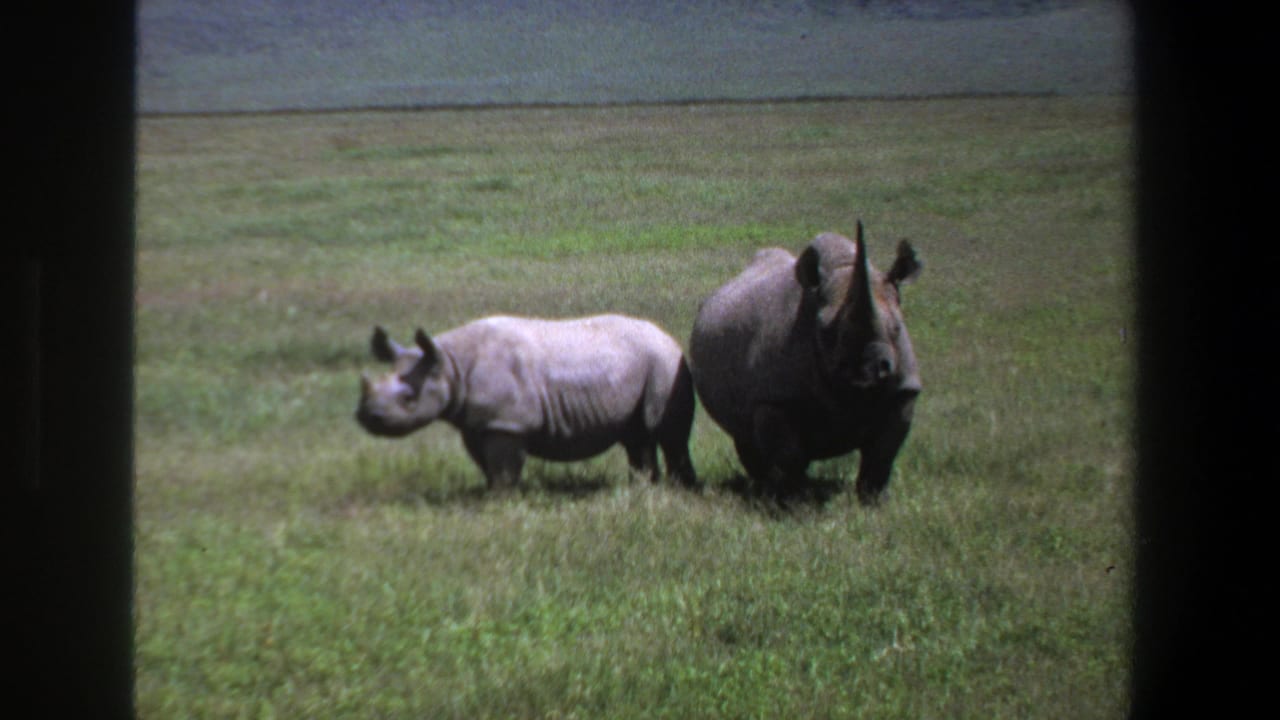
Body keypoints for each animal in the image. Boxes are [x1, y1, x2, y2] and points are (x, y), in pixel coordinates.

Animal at [355, 314, 698, 490]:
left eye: (408, 398)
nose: (367, 417)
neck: (450, 364)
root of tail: (668, 335)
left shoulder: (508, 422)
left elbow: (504, 466)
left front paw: (503, 500)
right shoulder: (479, 422)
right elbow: (486, 463)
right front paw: (490, 493)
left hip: (665, 363)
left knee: (667, 433)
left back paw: (680, 489)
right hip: (646, 364)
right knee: (637, 436)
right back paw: (644, 487)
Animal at [688, 221, 922, 505]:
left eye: (898, 327)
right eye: (825, 331)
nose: (868, 372)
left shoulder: (903, 390)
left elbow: (882, 455)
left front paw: (874, 503)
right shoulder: (775, 399)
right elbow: (789, 456)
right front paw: (796, 503)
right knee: (744, 434)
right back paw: (763, 489)